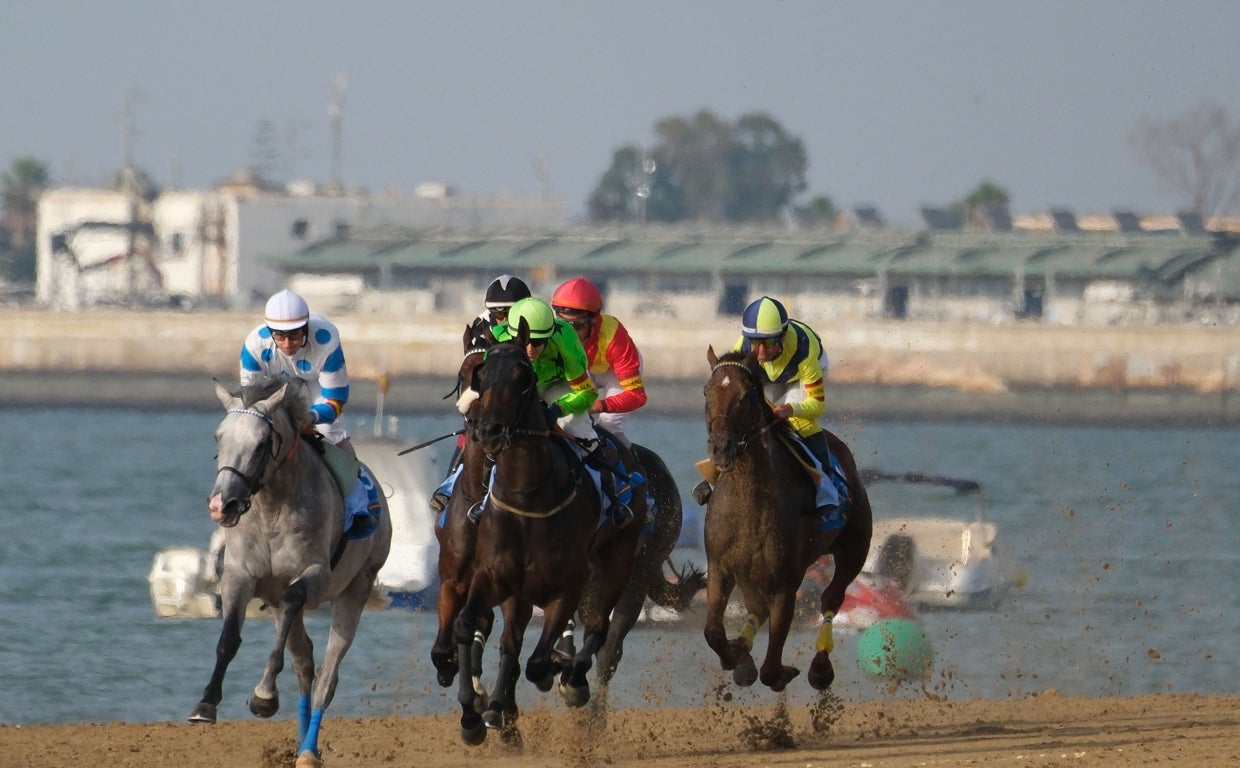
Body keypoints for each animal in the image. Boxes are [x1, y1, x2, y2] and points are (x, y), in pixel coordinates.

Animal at [188, 379, 389, 768]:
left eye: (261, 444)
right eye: (219, 437)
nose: (222, 505)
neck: (271, 508)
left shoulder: (315, 576)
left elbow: (295, 597)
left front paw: (264, 695)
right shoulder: (241, 576)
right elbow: (228, 638)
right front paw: (206, 704)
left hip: (355, 589)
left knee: (327, 675)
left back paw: (308, 751)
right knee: (304, 662)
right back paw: (299, 742)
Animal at [451, 330, 644, 744]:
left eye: (523, 377)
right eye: (481, 374)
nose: (489, 430)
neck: (527, 496)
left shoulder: (568, 585)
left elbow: (539, 662)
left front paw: (566, 675)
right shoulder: (494, 578)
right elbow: (467, 626)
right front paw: (473, 718)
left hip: (618, 560)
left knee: (600, 629)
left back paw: (572, 678)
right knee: (512, 642)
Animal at [704, 347, 877, 689]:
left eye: (745, 395)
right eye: (707, 391)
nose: (720, 448)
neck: (749, 505)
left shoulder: (786, 581)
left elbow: (771, 668)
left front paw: (778, 669)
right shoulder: (720, 566)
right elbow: (713, 632)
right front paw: (736, 657)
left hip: (855, 549)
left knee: (831, 598)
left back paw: (820, 668)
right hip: (747, 572)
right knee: (757, 609)